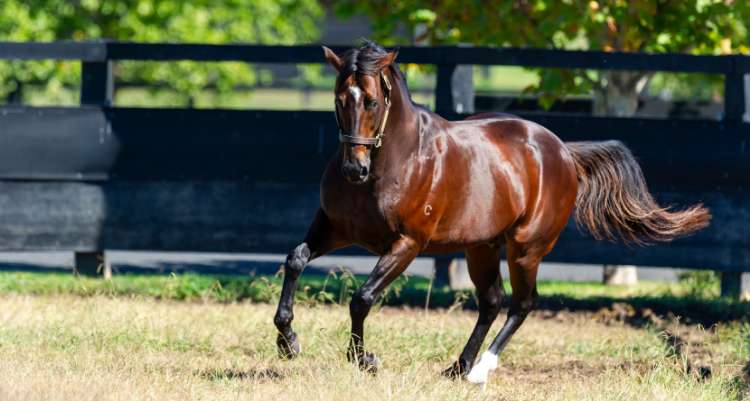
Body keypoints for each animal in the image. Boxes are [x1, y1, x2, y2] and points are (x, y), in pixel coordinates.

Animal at [273, 40, 710, 384]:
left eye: (373, 102)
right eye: (338, 99)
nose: (354, 170)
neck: (396, 160)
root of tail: (563, 151)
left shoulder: (407, 244)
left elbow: (362, 298)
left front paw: (365, 360)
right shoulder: (335, 227)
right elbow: (295, 259)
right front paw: (288, 342)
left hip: (526, 248)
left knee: (522, 303)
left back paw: (480, 369)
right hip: (480, 247)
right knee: (492, 301)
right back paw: (458, 367)